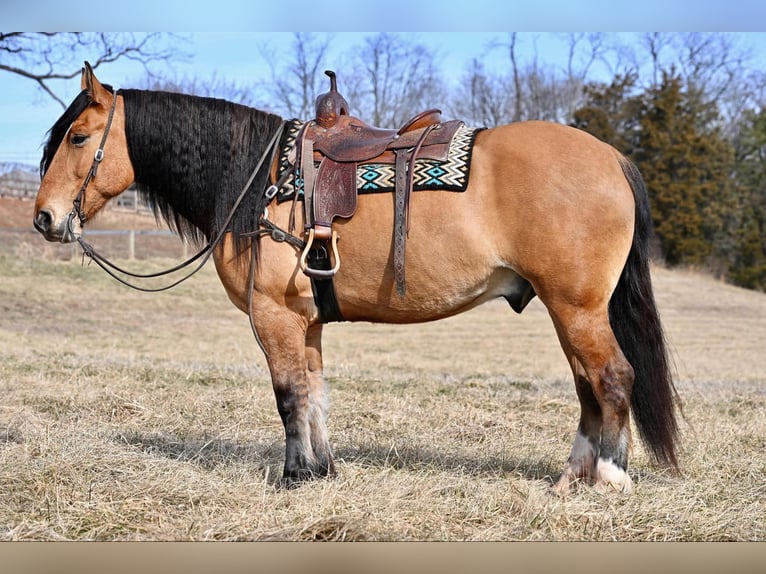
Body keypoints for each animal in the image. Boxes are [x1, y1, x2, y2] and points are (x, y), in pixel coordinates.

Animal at [31, 63, 684, 496]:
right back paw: (573, 476)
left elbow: (288, 395)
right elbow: (315, 393)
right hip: (567, 309)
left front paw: (293, 477)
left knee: (613, 377)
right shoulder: (307, 320)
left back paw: (610, 477)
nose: (45, 218)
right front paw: (322, 471)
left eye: (79, 137)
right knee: (586, 384)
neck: (258, 183)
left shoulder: (272, 316)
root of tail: (610, 157)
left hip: (577, 306)